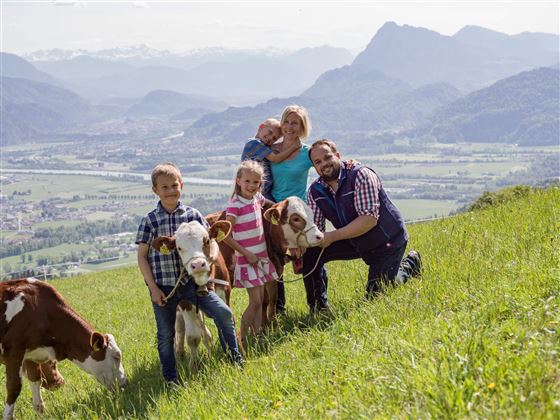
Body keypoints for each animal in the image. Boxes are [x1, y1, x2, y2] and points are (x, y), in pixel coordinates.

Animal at [0, 278, 126, 418]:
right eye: (116, 356)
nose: (124, 382)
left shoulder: (31, 353)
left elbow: (36, 380)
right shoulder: (14, 350)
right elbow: (14, 388)